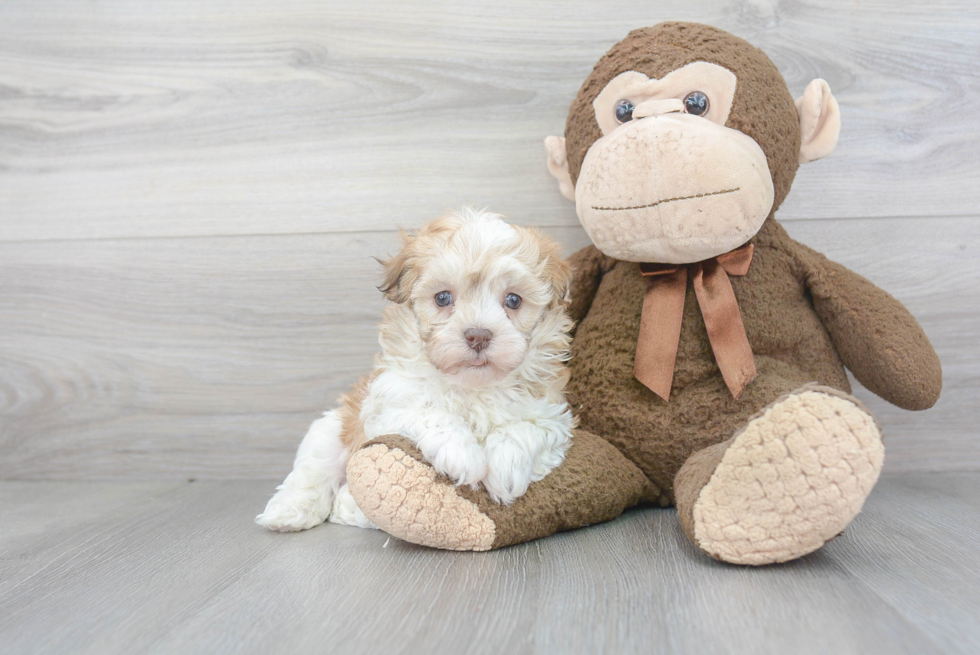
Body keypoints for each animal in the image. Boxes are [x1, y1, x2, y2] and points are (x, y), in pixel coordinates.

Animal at [255, 209, 576, 532]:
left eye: (513, 300)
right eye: (443, 298)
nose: (478, 335)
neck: (471, 386)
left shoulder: (551, 412)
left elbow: (526, 428)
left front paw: (504, 466)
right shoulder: (390, 401)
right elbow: (428, 410)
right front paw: (463, 454)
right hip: (331, 430)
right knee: (313, 472)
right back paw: (289, 511)